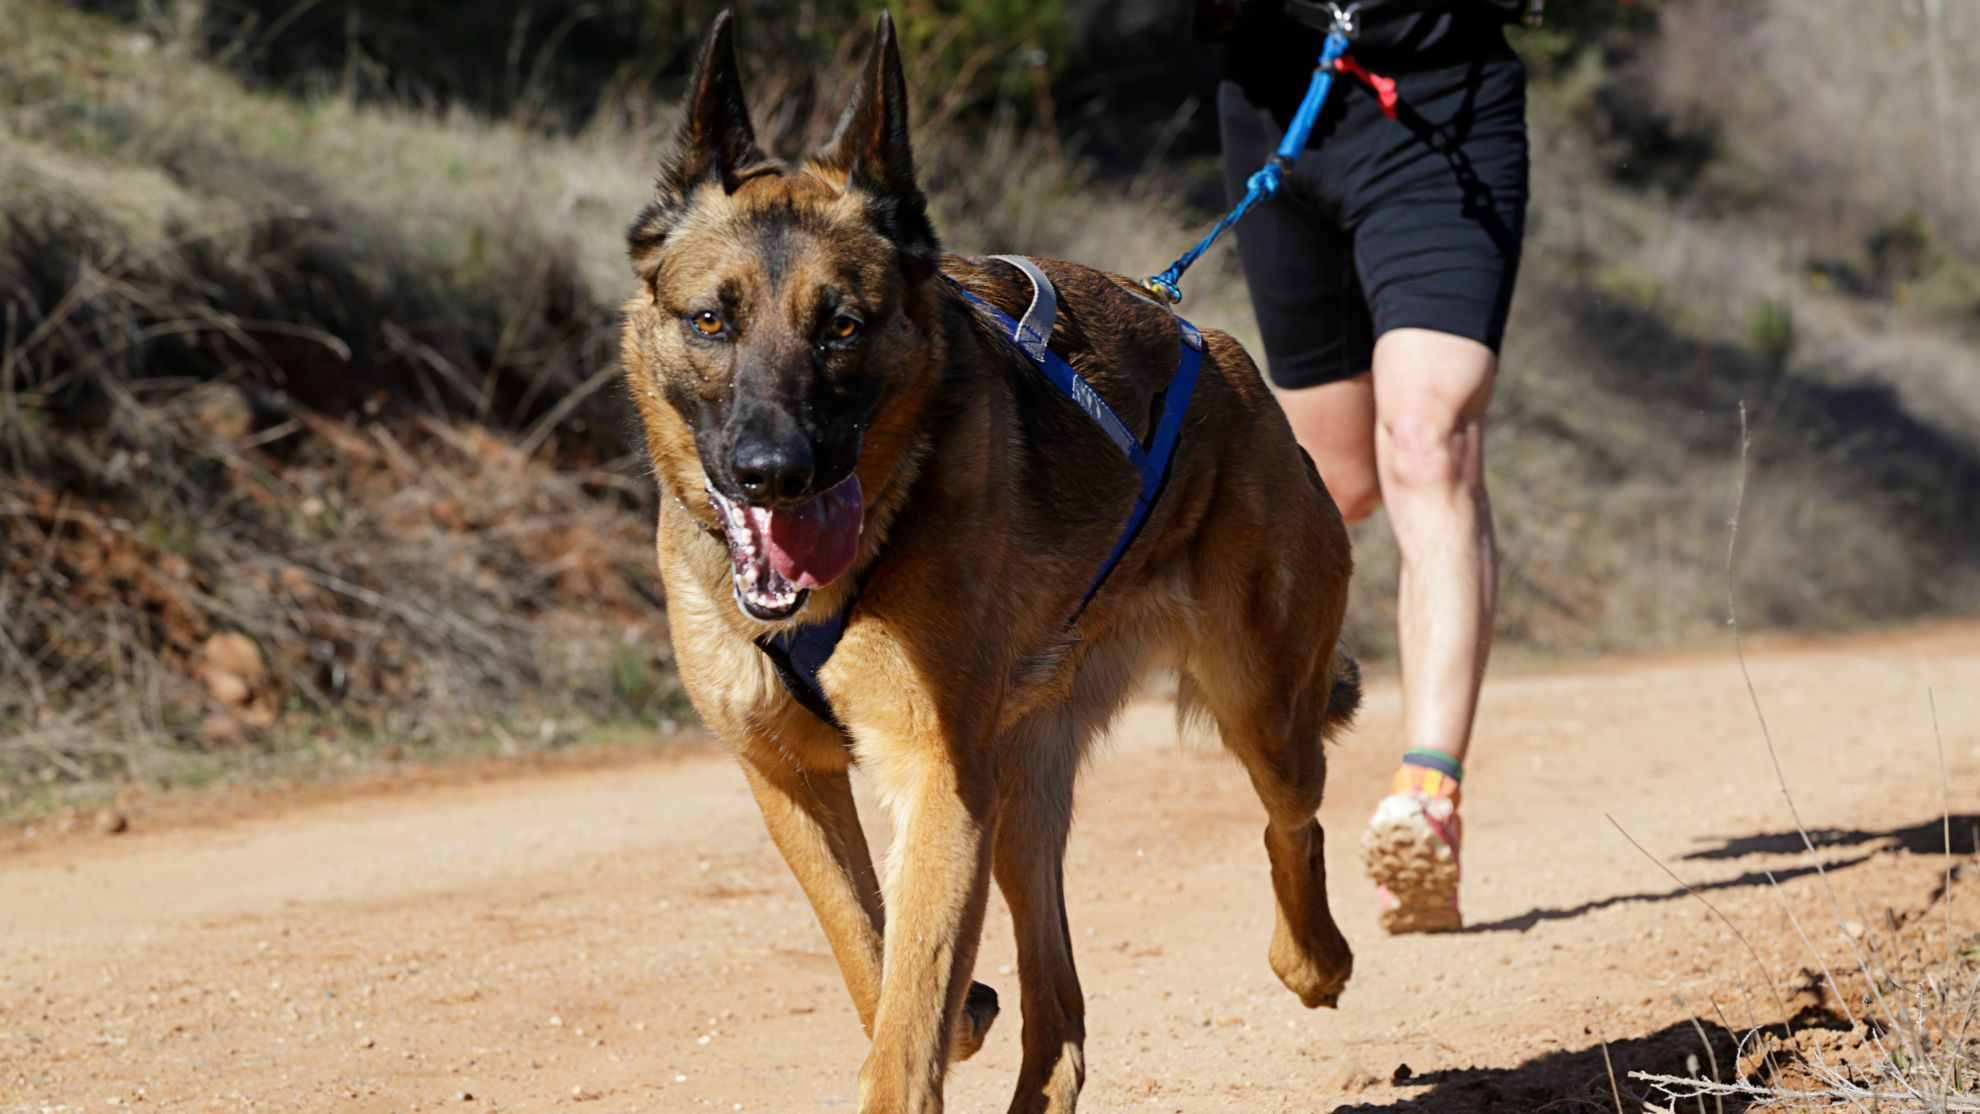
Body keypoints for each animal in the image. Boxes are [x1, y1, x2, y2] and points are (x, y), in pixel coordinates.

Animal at [617, 10, 1362, 1114]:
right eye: (712, 319)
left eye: (843, 326)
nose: (773, 472)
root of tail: (1219, 347)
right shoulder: (790, 775)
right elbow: (868, 942)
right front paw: (959, 1004)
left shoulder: (938, 775)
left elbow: (904, 1020)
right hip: (1018, 794)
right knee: (1060, 1016)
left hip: (1259, 711)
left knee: (1291, 820)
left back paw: (1314, 958)